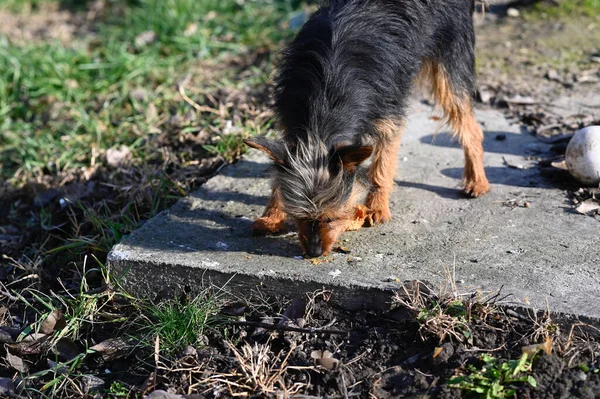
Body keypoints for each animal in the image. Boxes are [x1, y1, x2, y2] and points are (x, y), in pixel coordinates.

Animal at [244, 0, 488, 260]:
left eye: (331, 218)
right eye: (300, 217)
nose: (315, 252)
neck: (325, 100)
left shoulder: (389, 118)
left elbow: (382, 166)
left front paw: (376, 207)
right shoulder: (290, 125)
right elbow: (279, 178)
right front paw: (271, 217)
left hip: (449, 65)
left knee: (470, 127)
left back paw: (477, 181)